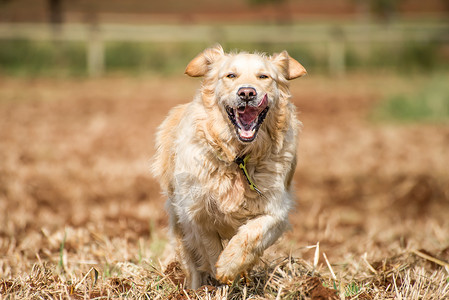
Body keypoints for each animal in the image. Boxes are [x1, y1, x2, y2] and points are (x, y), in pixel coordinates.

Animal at [152, 44, 306, 288]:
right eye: (231, 76)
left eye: (264, 76)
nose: (247, 93)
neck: (238, 157)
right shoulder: (195, 213)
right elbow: (210, 247)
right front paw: (218, 272)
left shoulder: (276, 209)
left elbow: (252, 234)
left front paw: (230, 265)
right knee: (190, 262)